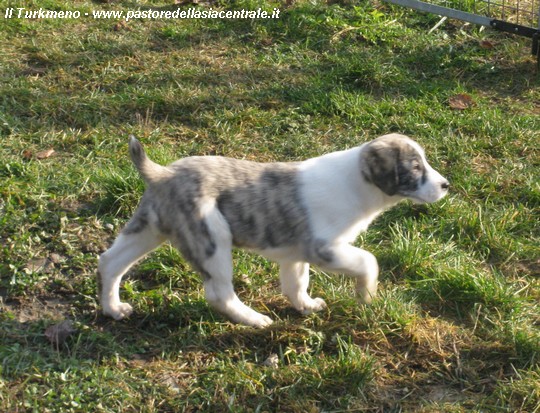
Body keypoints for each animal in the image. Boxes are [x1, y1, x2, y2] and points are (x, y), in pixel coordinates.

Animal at [98, 133, 449, 327]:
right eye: (415, 168)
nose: (446, 185)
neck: (358, 182)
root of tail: (163, 173)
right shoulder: (324, 248)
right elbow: (368, 261)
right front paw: (366, 295)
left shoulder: (295, 255)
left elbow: (296, 283)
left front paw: (306, 306)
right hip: (211, 238)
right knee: (219, 293)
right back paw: (255, 320)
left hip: (148, 229)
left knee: (110, 262)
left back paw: (113, 308)